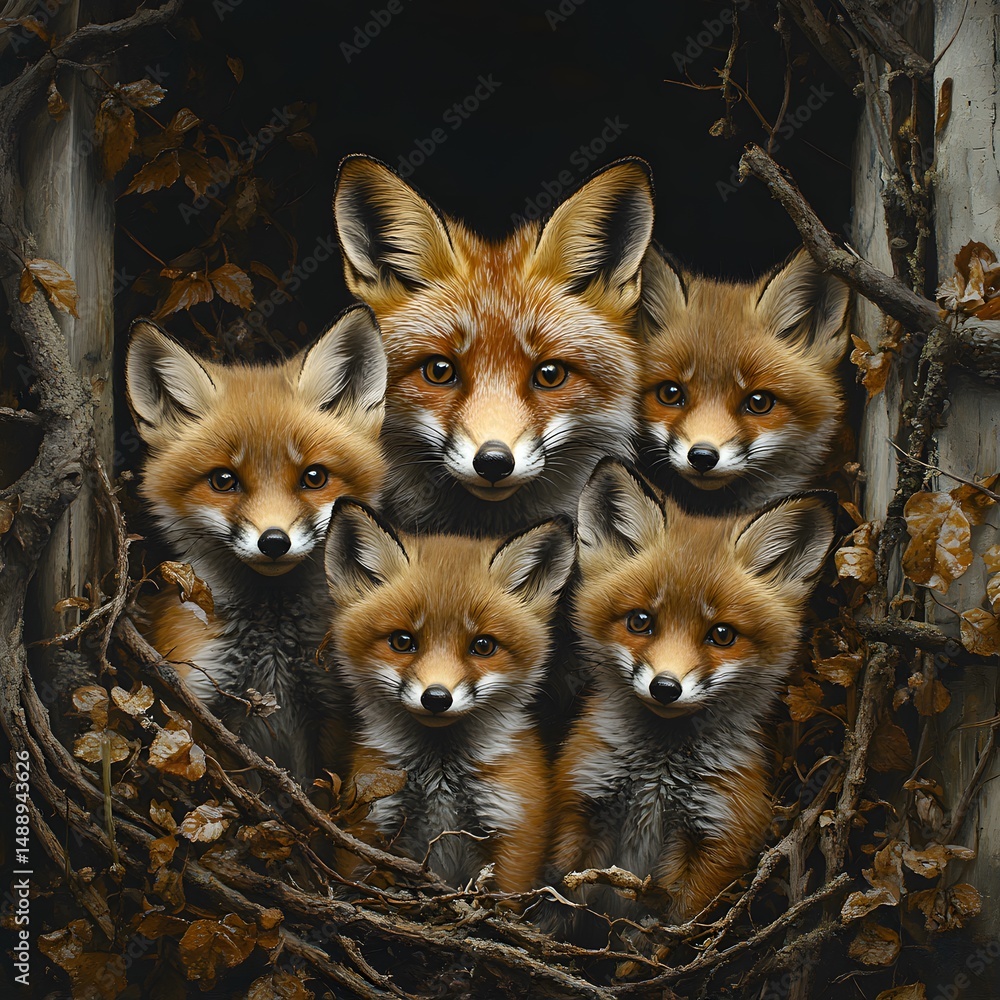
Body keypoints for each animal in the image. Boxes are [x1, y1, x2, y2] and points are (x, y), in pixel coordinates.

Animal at [125, 305, 388, 781]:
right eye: (223, 480)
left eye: (314, 477)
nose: (274, 542)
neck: (271, 641)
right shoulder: (198, 703)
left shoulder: (329, 713)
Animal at [324, 498, 575, 893]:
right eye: (402, 641)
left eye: (483, 645)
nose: (437, 698)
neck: (440, 774)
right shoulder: (368, 827)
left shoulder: (515, 835)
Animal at [548, 460, 836, 942]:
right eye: (640, 621)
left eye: (722, 634)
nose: (665, 687)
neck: (657, 772)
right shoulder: (579, 802)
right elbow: (556, 895)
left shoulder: (719, 840)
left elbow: (672, 932)